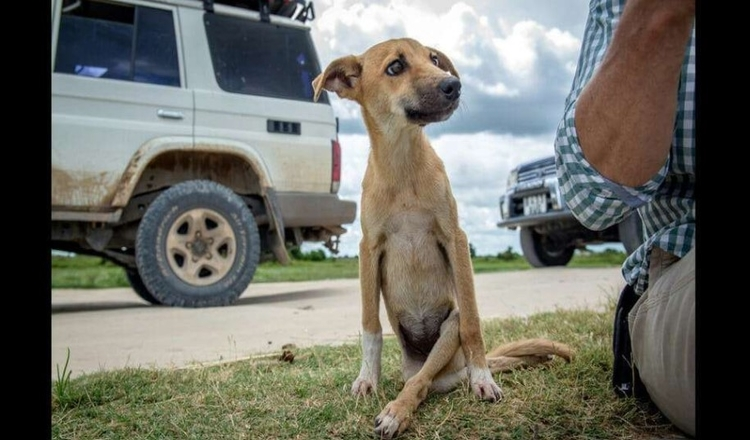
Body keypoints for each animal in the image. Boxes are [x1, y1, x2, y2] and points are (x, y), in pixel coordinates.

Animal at [312, 38, 576, 440]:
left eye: (434, 59)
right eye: (395, 67)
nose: (454, 85)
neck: (403, 165)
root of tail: (450, 371)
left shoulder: (456, 239)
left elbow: (473, 321)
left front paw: (484, 380)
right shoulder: (368, 248)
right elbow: (370, 325)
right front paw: (366, 379)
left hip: (447, 335)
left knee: (420, 382)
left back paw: (403, 409)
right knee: (416, 380)